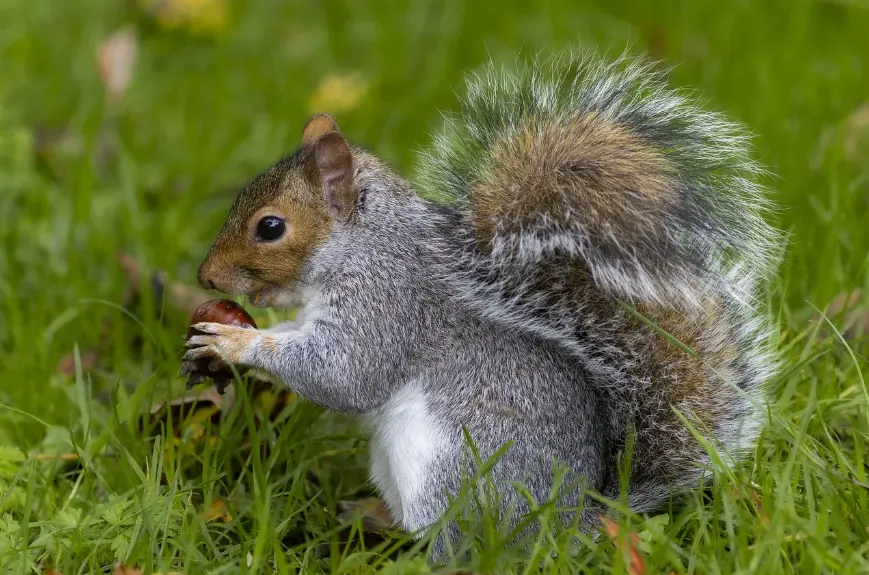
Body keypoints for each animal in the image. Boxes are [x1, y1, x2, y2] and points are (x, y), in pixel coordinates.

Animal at [181, 48, 780, 560]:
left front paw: (234, 342)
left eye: (270, 227)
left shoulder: (387, 305)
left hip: (451, 468)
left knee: (461, 546)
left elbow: (344, 375)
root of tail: (571, 523)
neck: (362, 244)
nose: (205, 276)